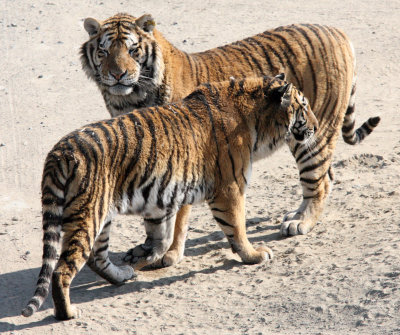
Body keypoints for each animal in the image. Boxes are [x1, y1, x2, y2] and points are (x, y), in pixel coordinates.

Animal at [21, 73, 318, 320]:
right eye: (303, 107)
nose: (315, 128)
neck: (256, 120)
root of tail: (59, 152)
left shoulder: (169, 193)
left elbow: (167, 232)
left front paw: (150, 254)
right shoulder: (229, 189)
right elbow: (237, 227)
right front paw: (253, 255)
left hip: (101, 217)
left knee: (96, 257)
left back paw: (122, 275)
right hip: (89, 216)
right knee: (62, 269)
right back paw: (67, 313)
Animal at [79, 13, 382, 268]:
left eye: (133, 50)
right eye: (104, 51)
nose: (117, 74)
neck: (129, 100)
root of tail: (336, 31)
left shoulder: (184, 163)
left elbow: (179, 217)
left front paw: (170, 254)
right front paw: (147, 248)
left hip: (312, 137)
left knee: (319, 180)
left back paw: (300, 222)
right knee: (326, 177)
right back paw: (295, 215)